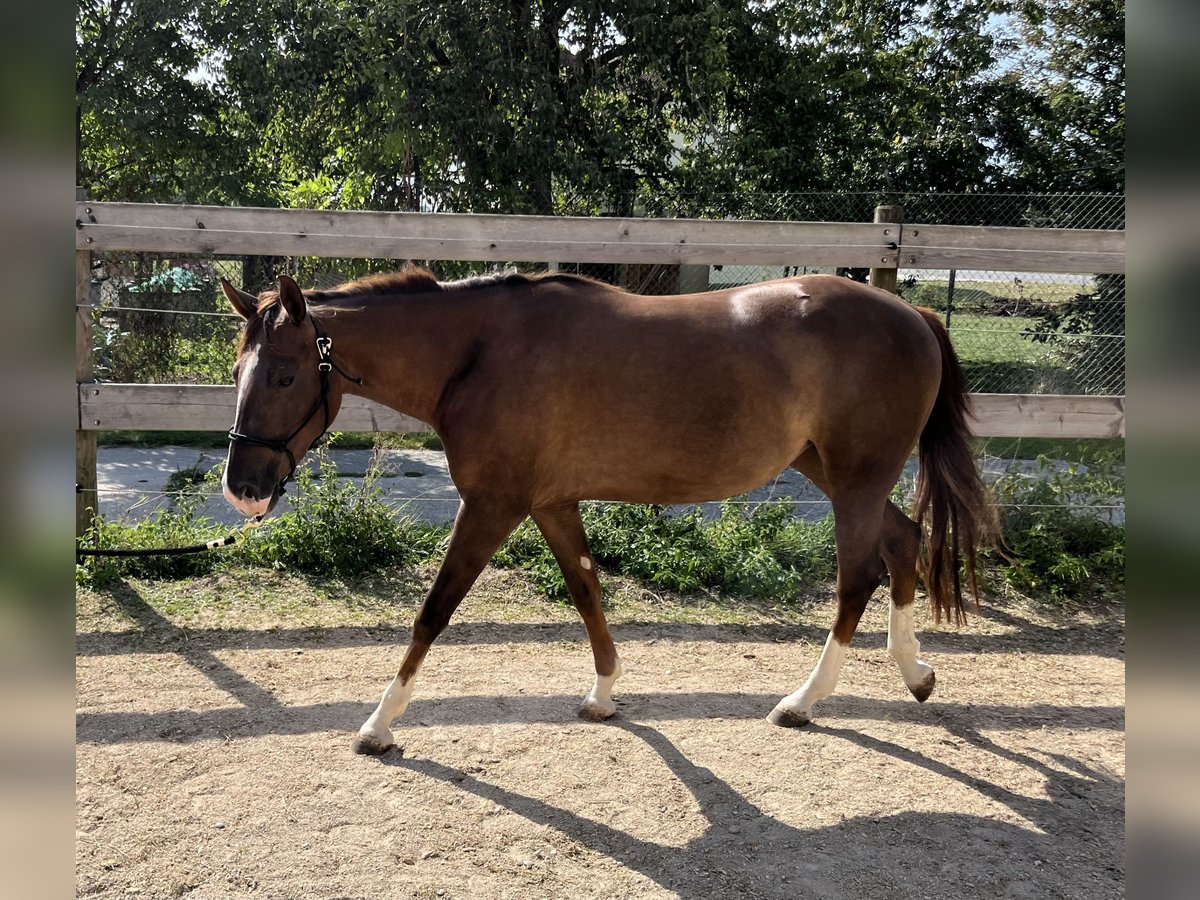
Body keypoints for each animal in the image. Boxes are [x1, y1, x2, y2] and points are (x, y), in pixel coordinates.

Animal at [220, 267, 988, 753]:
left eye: (284, 374)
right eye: (237, 372)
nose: (243, 488)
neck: (481, 353)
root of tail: (913, 316)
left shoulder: (492, 506)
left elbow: (433, 612)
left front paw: (379, 725)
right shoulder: (552, 504)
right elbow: (587, 590)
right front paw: (604, 694)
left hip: (855, 479)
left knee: (858, 579)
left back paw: (801, 704)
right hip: (835, 473)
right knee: (902, 542)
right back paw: (916, 675)